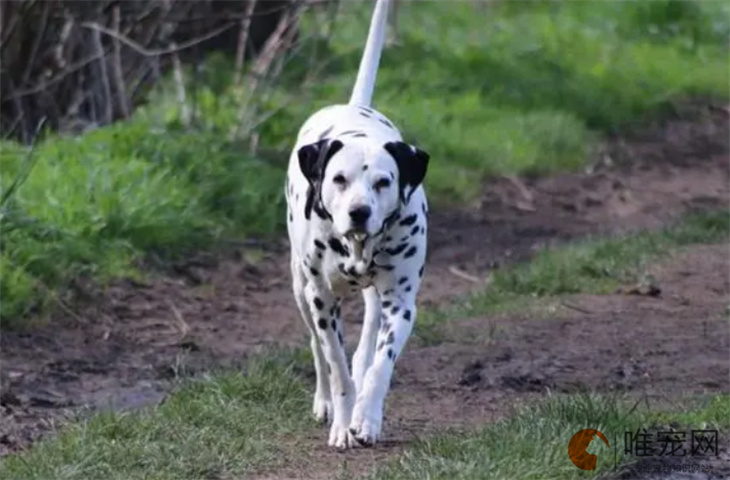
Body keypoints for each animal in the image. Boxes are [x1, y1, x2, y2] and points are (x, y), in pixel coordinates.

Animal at [282, 0, 426, 450]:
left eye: (383, 181)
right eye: (339, 179)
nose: (359, 212)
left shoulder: (401, 301)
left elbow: (380, 365)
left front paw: (367, 419)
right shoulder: (322, 300)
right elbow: (336, 366)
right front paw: (343, 422)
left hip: (376, 297)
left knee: (366, 343)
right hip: (300, 289)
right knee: (318, 351)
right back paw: (325, 403)